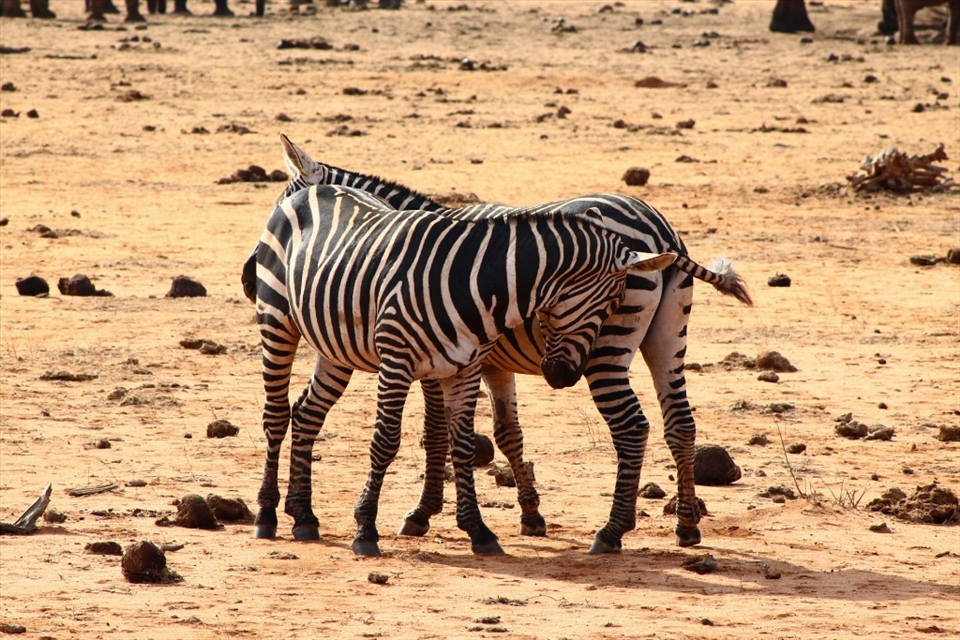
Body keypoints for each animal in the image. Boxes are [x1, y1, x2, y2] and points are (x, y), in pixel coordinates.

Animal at [242, 134, 752, 553]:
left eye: (280, 197)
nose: (249, 279)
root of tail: (660, 228)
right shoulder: (490, 363)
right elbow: (505, 434)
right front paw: (530, 515)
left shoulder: (444, 365)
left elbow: (436, 434)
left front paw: (422, 514)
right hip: (668, 338)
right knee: (680, 423)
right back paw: (687, 526)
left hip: (607, 351)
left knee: (632, 427)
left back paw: (611, 532)